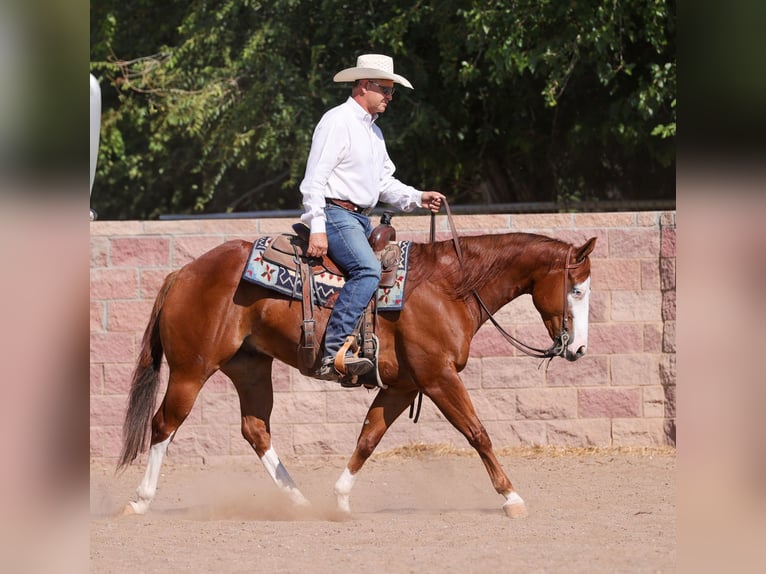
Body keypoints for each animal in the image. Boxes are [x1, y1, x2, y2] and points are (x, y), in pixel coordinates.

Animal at [117, 224, 596, 519]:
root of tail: (183, 272)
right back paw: (139, 501)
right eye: (576, 288)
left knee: (255, 429)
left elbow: (369, 436)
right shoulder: (438, 377)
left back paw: (300, 501)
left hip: (250, 368)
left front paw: (341, 498)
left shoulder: (403, 386)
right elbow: (477, 432)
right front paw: (511, 497)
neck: (449, 287)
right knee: (164, 425)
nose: (578, 349)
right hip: (190, 370)